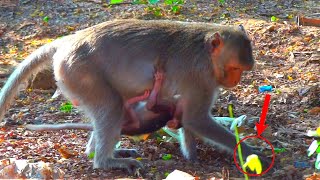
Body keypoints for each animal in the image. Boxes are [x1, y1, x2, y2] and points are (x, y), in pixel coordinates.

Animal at [0, 19, 268, 174]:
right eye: (235, 68)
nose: (235, 81)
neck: (205, 52)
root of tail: (69, 40)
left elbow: (187, 119)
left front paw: (191, 154)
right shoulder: (200, 77)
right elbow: (195, 118)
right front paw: (251, 153)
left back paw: (100, 152)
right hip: (79, 73)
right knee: (111, 107)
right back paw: (105, 162)